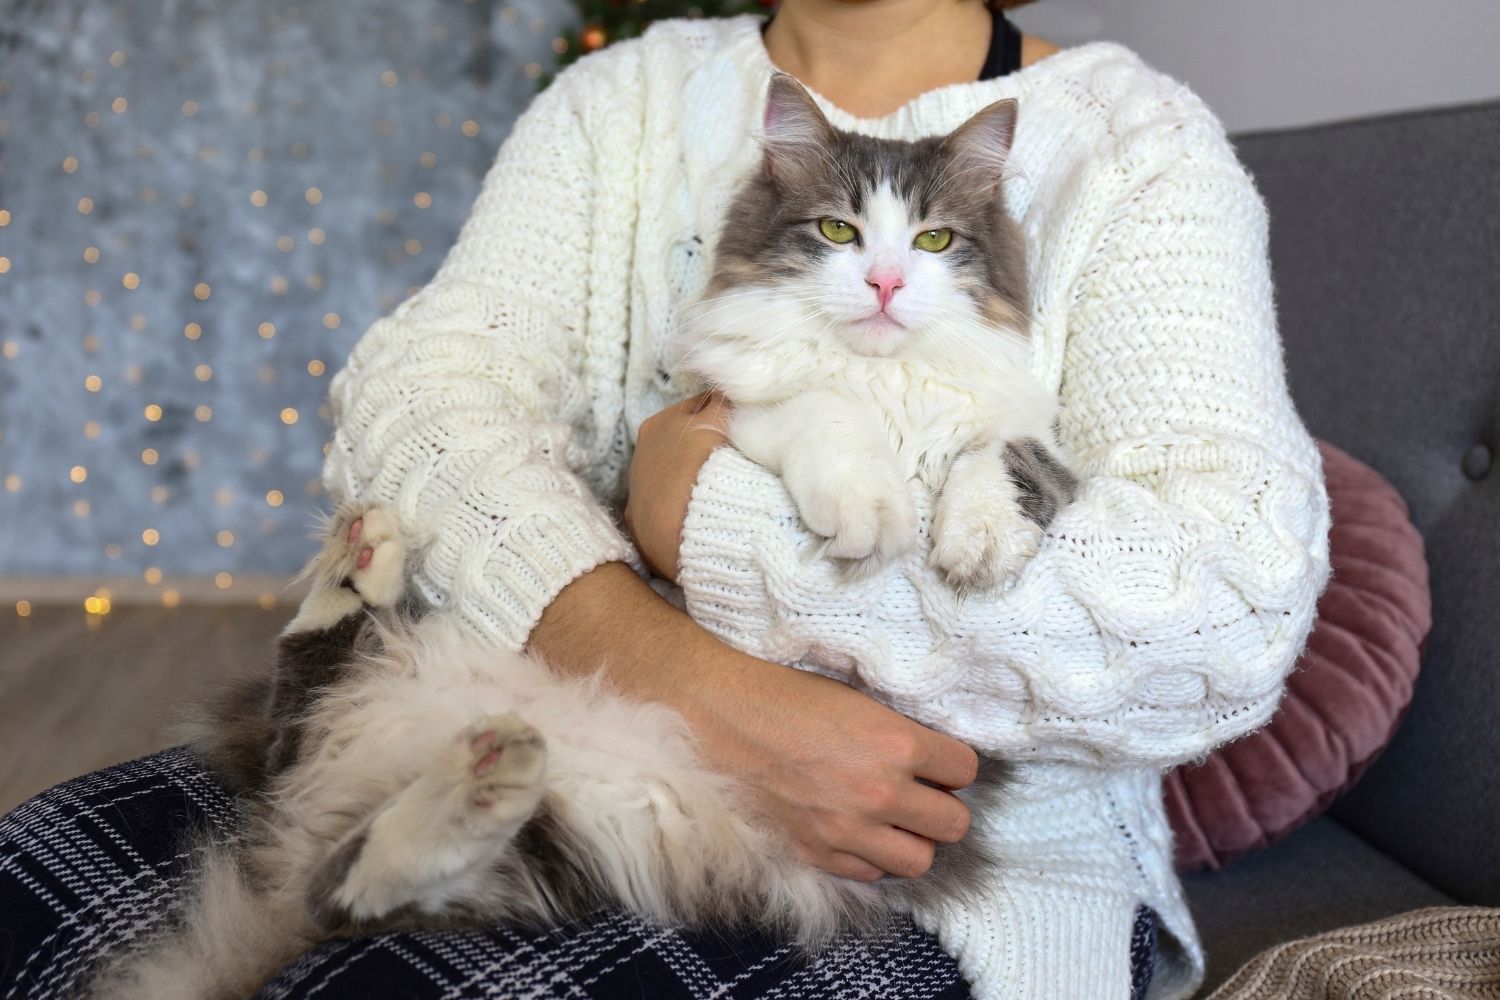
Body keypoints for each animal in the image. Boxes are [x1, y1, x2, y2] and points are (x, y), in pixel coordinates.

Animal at [672, 74, 1080, 590]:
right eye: (836, 229)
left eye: (934, 239)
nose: (886, 283)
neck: (886, 373)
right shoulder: (743, 407)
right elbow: (827, 408)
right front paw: (872, 511)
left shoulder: (1028, 423)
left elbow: (1010, 455)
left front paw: (983, 533)